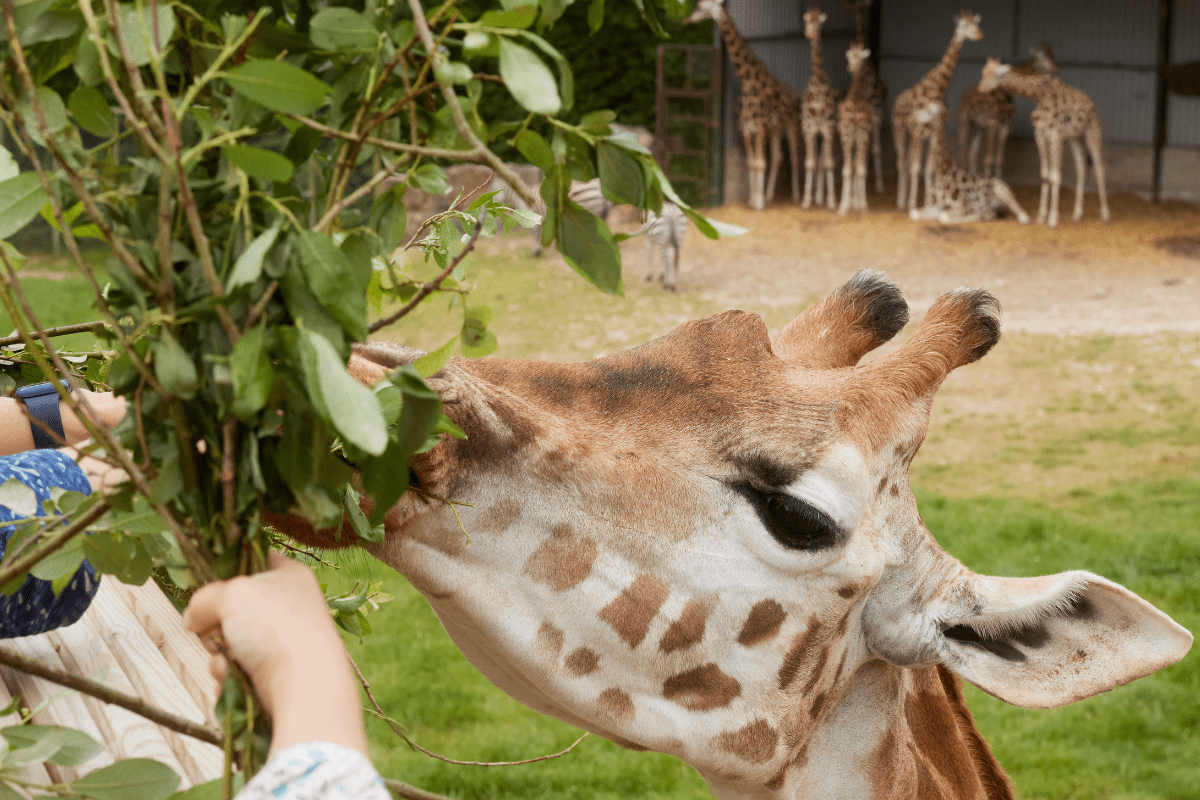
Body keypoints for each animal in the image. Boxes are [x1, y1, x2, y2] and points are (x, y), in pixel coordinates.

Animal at [686, 0, 802, 210]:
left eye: (702, 6)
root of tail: (796, 95)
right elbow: (752, 163)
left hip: (792, 125)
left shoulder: (760, 127)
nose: (687, 19)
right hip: (776, 128)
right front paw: (754, 200)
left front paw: (758, 204)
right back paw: (769, 195)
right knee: (778, 156)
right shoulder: (746, 129)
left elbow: (760, 162)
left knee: (795, 158)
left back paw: (797, 198)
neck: (747, 80)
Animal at [892, 11, 983, 211]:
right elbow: (916, 167)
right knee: (901, 163)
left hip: (912, 134)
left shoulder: (934, 129)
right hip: (900, 129)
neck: (938, 89)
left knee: (907, 162)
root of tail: (897, 100)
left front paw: (928, 202)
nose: (979, 35)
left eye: (976, 23)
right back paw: (901, 202)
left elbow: (928, 169)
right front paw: (912, 204)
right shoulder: (918, 127)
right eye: (962, 25)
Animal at [957, 44, 1058, 179]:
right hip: (964, 120)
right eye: (1043, 58)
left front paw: (998, 178)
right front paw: (989, 177)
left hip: (980, 127)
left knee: (972, 150)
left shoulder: (1006, 125)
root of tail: (964, 92)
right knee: (962, 148)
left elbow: (999, 158)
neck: (1005, 93)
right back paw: (964, 172)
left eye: (1053, 56)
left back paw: (973, 175)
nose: (1056, 70)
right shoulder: (992, 123)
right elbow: (989, 157)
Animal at [979, 56, 1109, 227]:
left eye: (994, 75)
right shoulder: (1040, 134)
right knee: (1081, 167)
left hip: (1092, 131)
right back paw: (1076, 215)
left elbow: (1055, 176)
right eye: (983, 72)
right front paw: (1041, 216)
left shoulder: (1056, 135)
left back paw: (1105, 216)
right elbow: (1045, 176)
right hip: (1075, 137)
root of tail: (1092, 105)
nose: (979, 89)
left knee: (1099, 166)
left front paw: (1053, 219)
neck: (1039, 95)